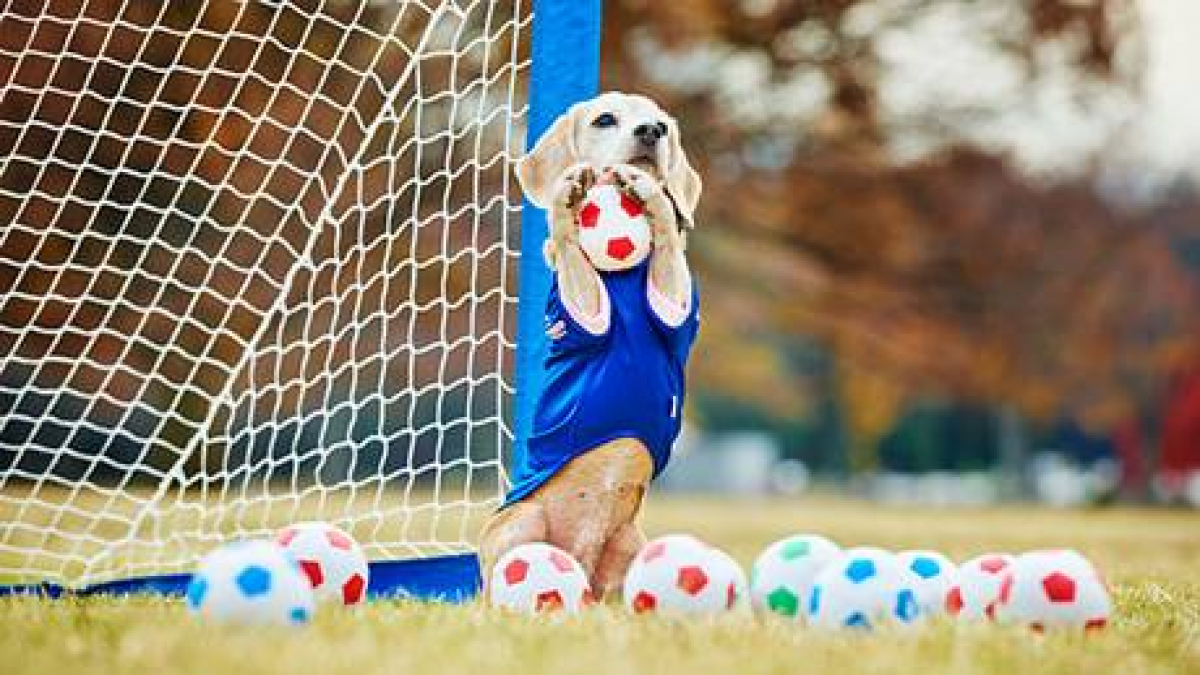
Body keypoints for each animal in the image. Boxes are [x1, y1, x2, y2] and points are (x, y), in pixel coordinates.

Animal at [480, 90, 700, 598]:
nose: (651, 133)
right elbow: (568, 245)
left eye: (661, 124)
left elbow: (668, 240)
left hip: (630, 541)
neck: (622, 275)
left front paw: (653, 196)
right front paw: (565, 205)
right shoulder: (582, 312)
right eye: (605, 119)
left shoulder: (676, 305)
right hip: (523, 520)